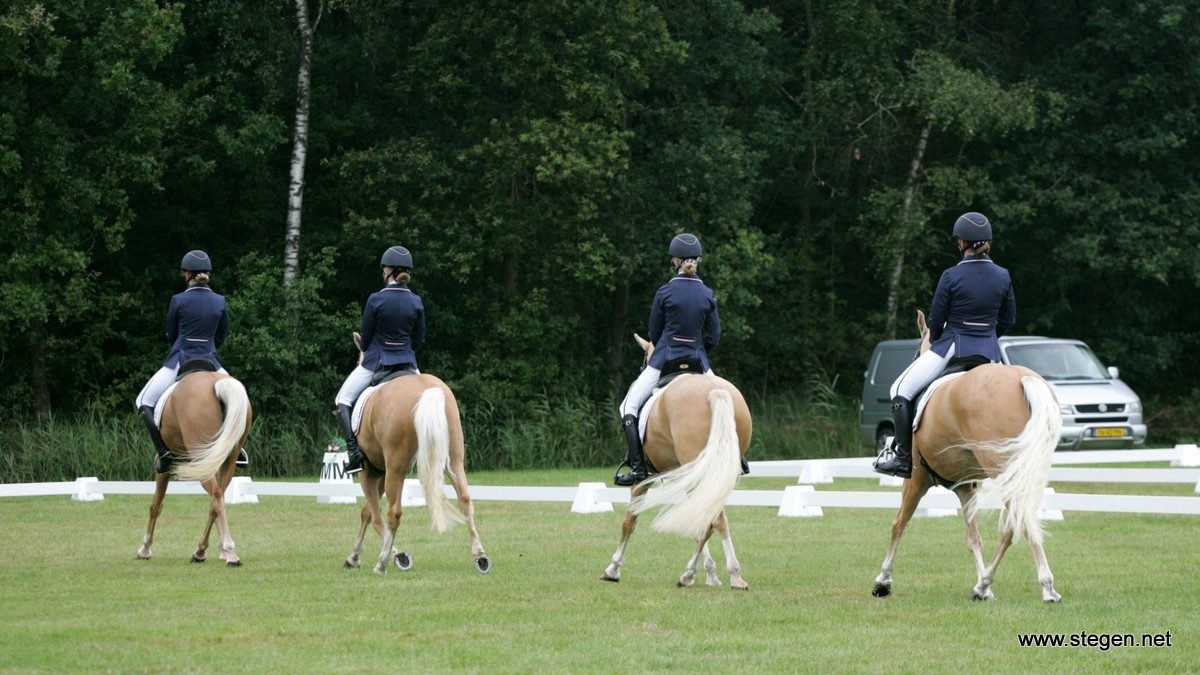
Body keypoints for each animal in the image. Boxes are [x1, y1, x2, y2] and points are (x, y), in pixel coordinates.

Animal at [133, 369, 250, 564]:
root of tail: (218, 383)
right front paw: (219, 551)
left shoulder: (164, 469)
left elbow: (156, 505)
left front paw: (145, 548)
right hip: (228, 458)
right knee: (217, 498)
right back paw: (203, 550)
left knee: (216, 495)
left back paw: (229, 551)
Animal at [338, 331, 487, 571]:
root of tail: (427, 390)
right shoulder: (382, 472)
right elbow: (367, 513)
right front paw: (354, 557)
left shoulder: (369, 472)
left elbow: (374, 515)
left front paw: (396, 556)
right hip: (453, 460)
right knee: (465, 500)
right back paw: (480, 556)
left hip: (396, 469)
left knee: (393, 512)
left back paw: (382, 563)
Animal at [600, 333, 748, 586]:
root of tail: (716, 392)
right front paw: (710, 572)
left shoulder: (643, 479)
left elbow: (630, 521)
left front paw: (613, 568)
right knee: (712, 517)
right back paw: (710, 574)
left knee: (712, 519)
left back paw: (713, 575)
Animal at [873, 309, 1060, 598]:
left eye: (916, 352)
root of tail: (1022, 378)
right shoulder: (964, 486)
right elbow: (974, 538)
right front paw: (984, 583)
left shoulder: (916, 480)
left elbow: (899, 523)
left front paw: (883, 580)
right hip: (1023, 471)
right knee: (1015, 524)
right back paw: (987, 585)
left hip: (1003, 471)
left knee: (1018, 522)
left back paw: (1041, 587)